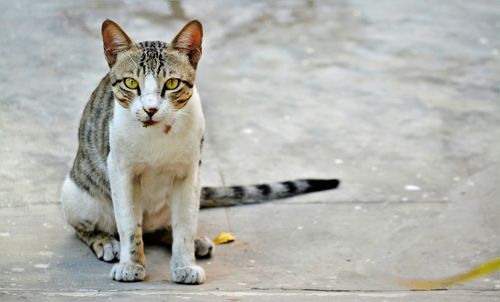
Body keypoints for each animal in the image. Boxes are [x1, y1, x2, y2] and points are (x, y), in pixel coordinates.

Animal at [59, 18, 340, 284]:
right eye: (130, 82)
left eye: (172, 83)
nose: (150, 109)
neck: (156, 135)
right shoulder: (121, 170)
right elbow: (129, 223)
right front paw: (132, 264)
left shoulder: (190, 172)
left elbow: (185, 222)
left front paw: (184, 263)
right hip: (77, 195)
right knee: (86, 227)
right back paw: (106, 241)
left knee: (163, 226)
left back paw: (191, 241)